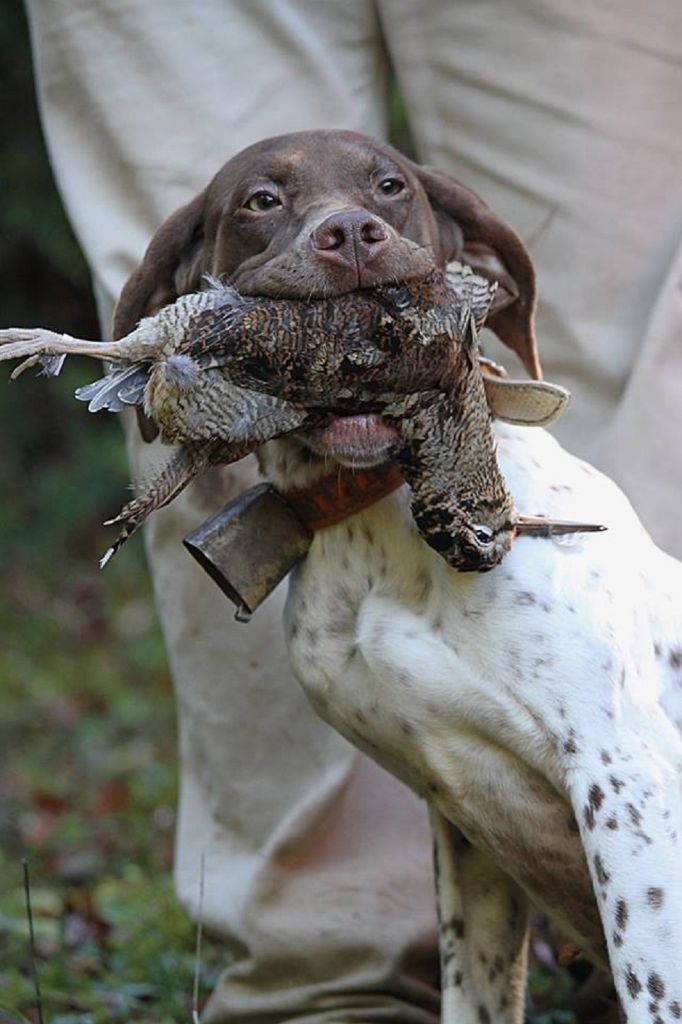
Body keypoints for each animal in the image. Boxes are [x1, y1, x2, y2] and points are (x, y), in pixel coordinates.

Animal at [115, 130, 679, 1024]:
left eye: (389, 187)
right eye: (262, 200)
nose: (349, 235)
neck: (381, 522)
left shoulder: (629, 784)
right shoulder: (465, 826)